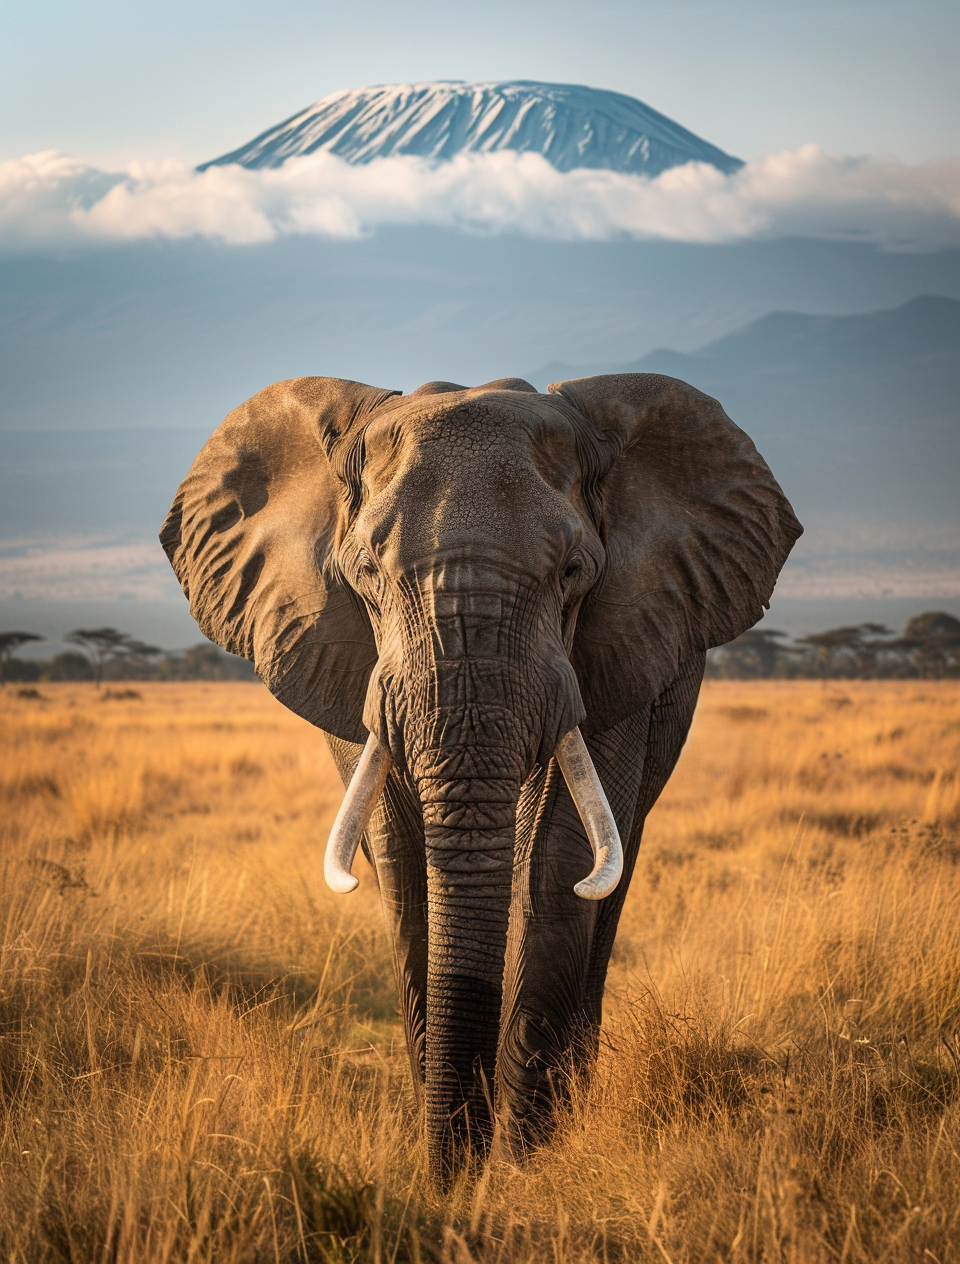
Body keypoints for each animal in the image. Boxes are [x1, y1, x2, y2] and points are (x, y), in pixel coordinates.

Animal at [161, 369, 799, 1178]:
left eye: (573, 573)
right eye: (363, 573)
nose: (457, 1178)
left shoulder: (620, 644)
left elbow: (559, 855)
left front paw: (527, 1169)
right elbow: (401, 861)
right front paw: (457, 1168)